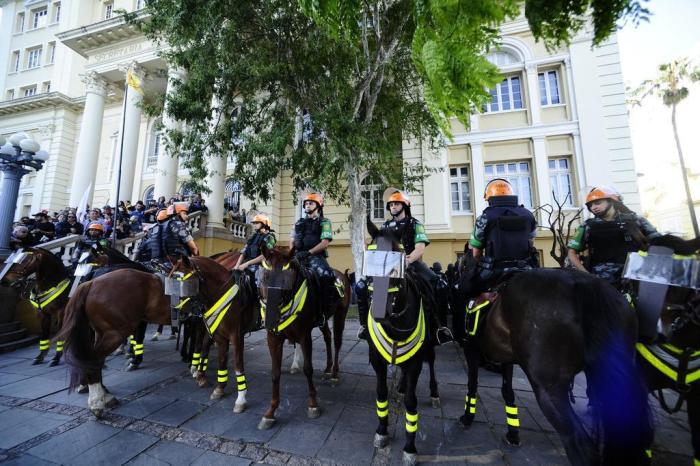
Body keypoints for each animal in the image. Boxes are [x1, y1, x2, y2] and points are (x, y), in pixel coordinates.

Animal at [256, 246, 350, 432]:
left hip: (340, 315)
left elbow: (308, 368)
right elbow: (275, 373)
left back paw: (334, 373)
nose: (270, 318)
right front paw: (270, 412)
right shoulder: (273, 338)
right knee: (328, 337)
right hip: (323, 320)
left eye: (287, 276)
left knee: (337, 341)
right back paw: (327, 369)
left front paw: (313, 404)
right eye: (264, 275)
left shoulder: (304, 335)